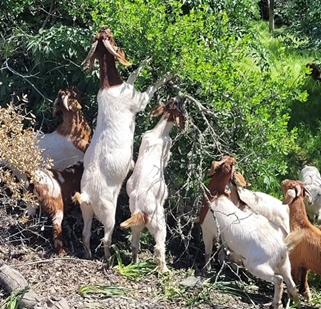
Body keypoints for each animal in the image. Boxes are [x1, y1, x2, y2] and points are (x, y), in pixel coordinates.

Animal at [72, 25, 174, 264]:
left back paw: (89, 254)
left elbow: (133, 74)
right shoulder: (139, 101)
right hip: (108, 212)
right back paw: (109, 260)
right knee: (106, 237)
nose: (104, 27)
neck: (110, 85)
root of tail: (88, 195)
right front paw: (165, 73)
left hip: (86, 211)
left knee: (85, 234)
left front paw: (146, 59)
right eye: (107, 37)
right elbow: (149, 86)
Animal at [119, 96, 185, 272]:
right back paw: (165, 270)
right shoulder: (167, 148)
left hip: (136, 227)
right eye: (178, 104)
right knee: (159, 248)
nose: (181, 96)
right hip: (159, 224)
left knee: (134, 244)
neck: (159, 132)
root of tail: (140, 211)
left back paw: (135, 263)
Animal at [199, 156, 302, 308]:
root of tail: (282, 247)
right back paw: (295, 303)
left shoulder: (207, 231)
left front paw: (205, 270)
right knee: (291, 284)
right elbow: (222, 253)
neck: (216, 195)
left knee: (278, 280)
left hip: (257, 266)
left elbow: (207, 252)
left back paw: (275, 303)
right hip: (284, 265)